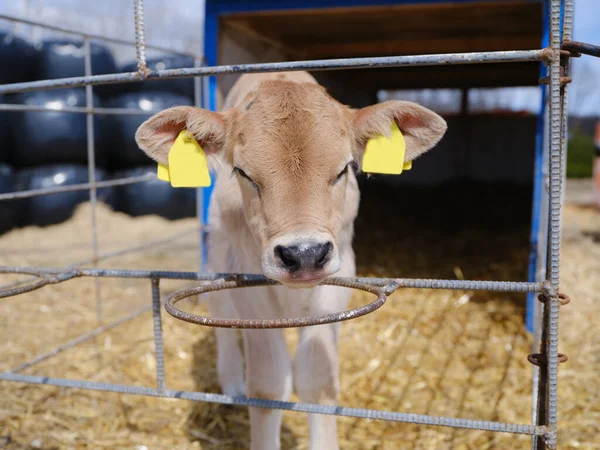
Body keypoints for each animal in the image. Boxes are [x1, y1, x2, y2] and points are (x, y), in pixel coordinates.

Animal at [135, 72, 446, 448]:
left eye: (344, 169)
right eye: (243, 172)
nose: (304, 254)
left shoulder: (338, 279)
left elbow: (318, 381)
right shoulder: (248, 282)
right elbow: (268, 386)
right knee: (219, 312)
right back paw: (232, 382)